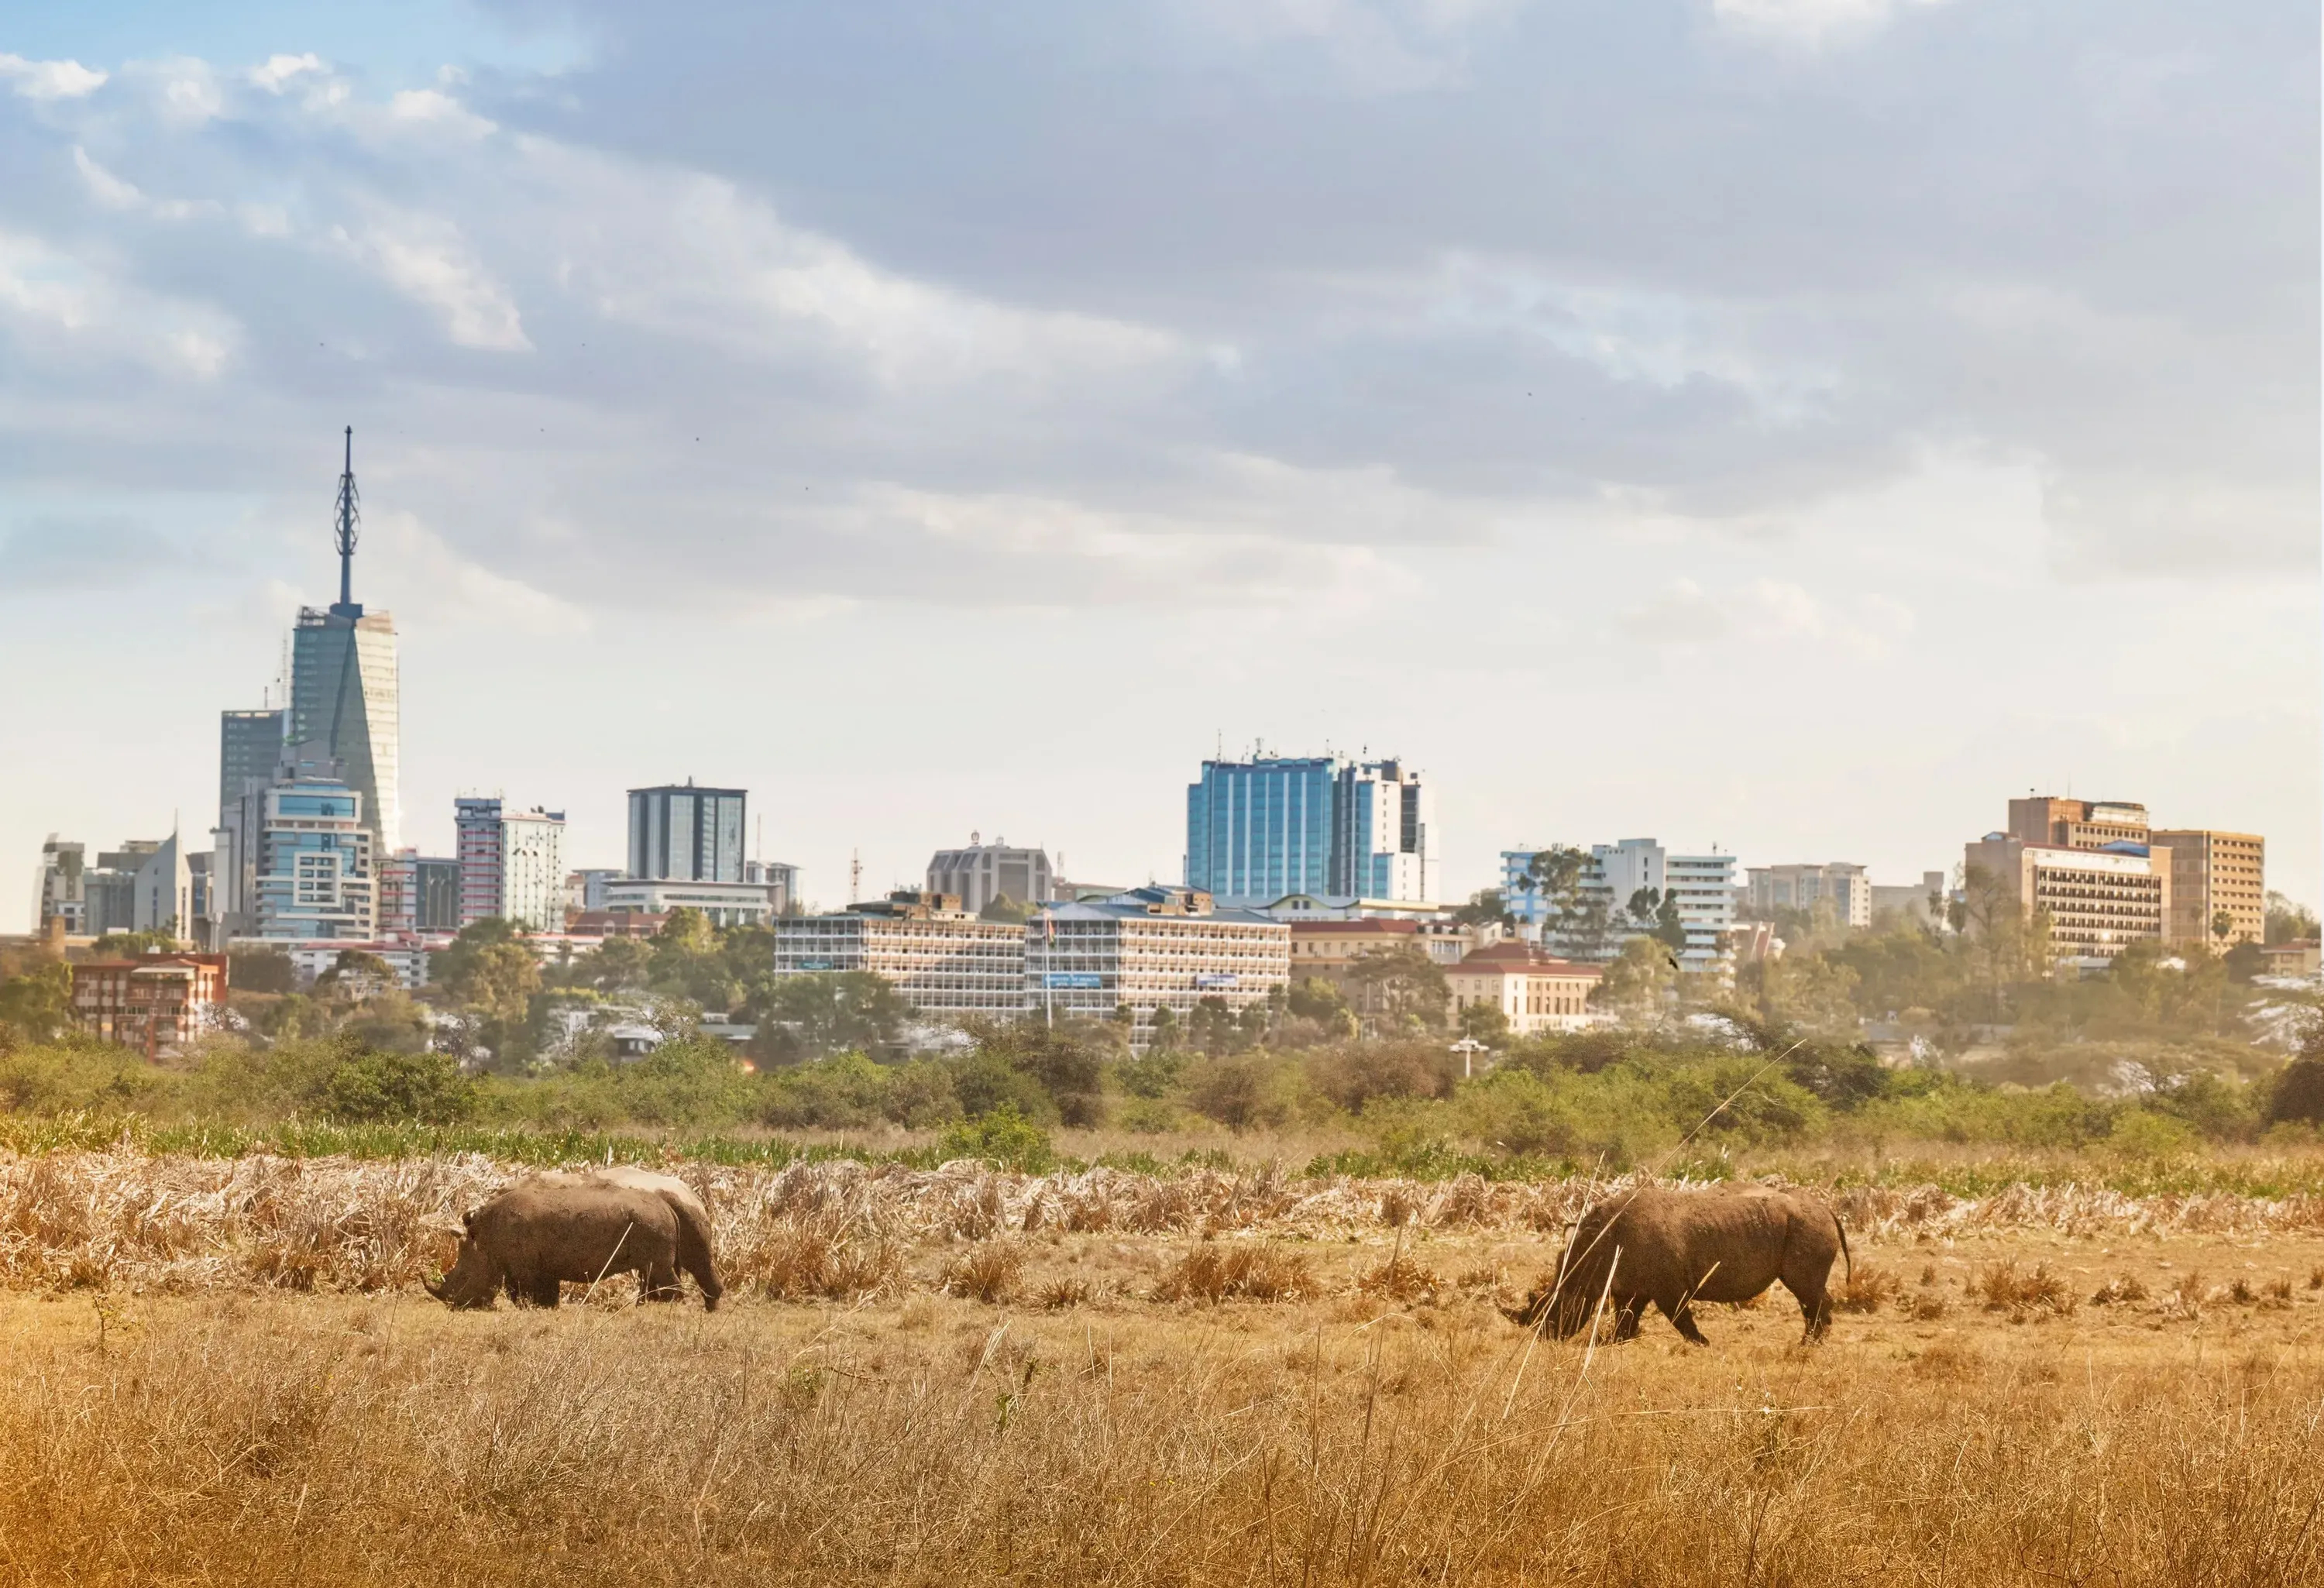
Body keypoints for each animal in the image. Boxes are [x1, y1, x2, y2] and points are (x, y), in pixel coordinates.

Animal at [427, 1182, 721, 1311]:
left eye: (465, 1278)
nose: (455, 1305)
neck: (484, 1240)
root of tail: (668, 1208)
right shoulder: (543, 1263)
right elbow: (545, 1291)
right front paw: (547, 1309)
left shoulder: (522, 1265)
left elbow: (520, 1291)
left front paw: (528, 1309)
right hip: (652, 1222)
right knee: (650, 1272)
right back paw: (646, 1307)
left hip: (651, 1223)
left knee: (659, 1270)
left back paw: (669, 1309)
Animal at [1504, 1184, 1849, 1345]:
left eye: (1556, 1306)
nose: (1544, 1336)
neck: (1592, 1253)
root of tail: (1829, 1211)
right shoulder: (1632, 1286)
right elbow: (1626, 1317)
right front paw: (1616, 1343)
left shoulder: (1669, 1287)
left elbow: (1680, 1317)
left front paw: (1703, 1343)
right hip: (1805, 1224)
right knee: (1807, 1294)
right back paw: (1811, 1342)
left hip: (1808, 1225)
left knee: (1807, 1290)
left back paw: (1808, 1345)